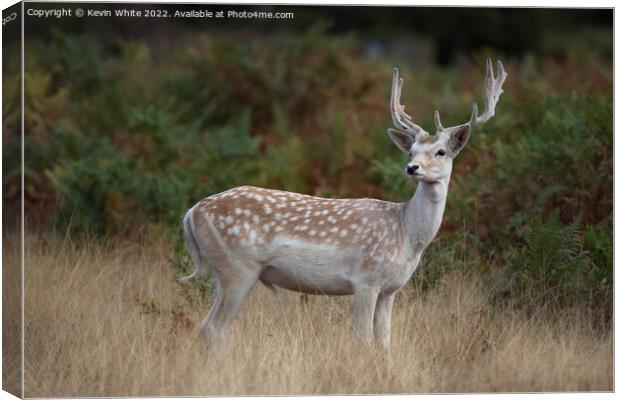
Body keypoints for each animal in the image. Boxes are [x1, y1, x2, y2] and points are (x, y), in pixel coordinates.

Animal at [180, 57, 508, 352]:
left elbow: (384, 342)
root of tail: (191, 213)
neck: (406, 233)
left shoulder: (391, 289)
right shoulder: (365, 280)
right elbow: (363, 340)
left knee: (212, 326)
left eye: (441, 151)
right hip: (237, 267)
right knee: (214, 327)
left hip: (225, 272)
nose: (412, 167)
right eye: (412, 150)